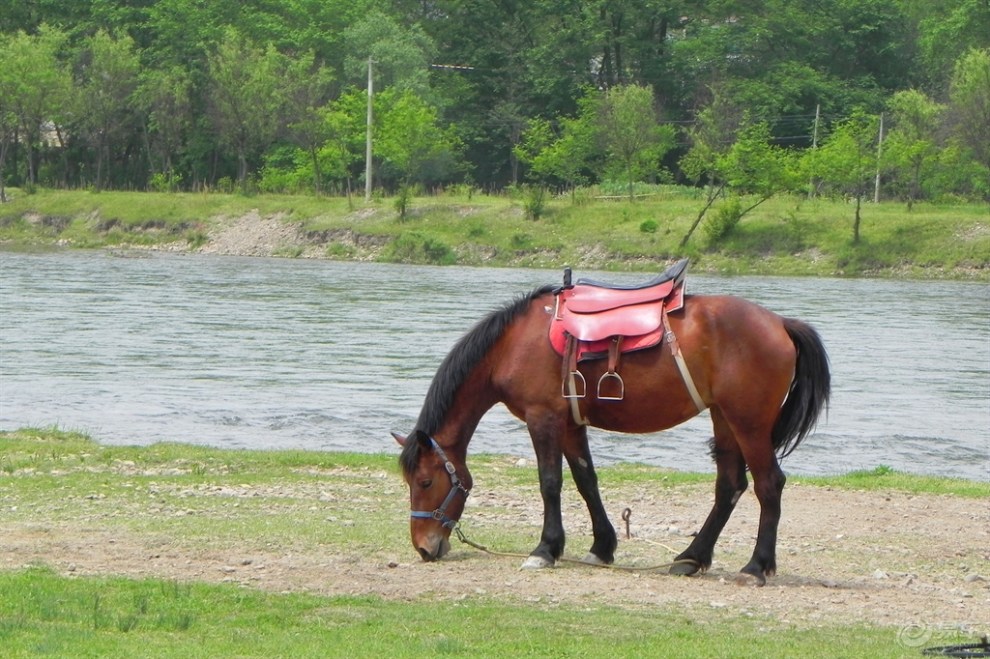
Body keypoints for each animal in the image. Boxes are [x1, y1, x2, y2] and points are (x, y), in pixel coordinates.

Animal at [396, 260, 828, 584]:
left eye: (425, 482)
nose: (423, 546)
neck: (513, 344)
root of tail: (780, 323)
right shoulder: (571, 424)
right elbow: (586, 481)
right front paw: (601, 547)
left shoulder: (543, 419)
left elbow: (550, 483)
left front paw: (545, 549)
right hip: (725, 419)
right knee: (730, 486)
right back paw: (691, 557)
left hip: (748, 423)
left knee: (769, 485)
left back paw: (756, 566)